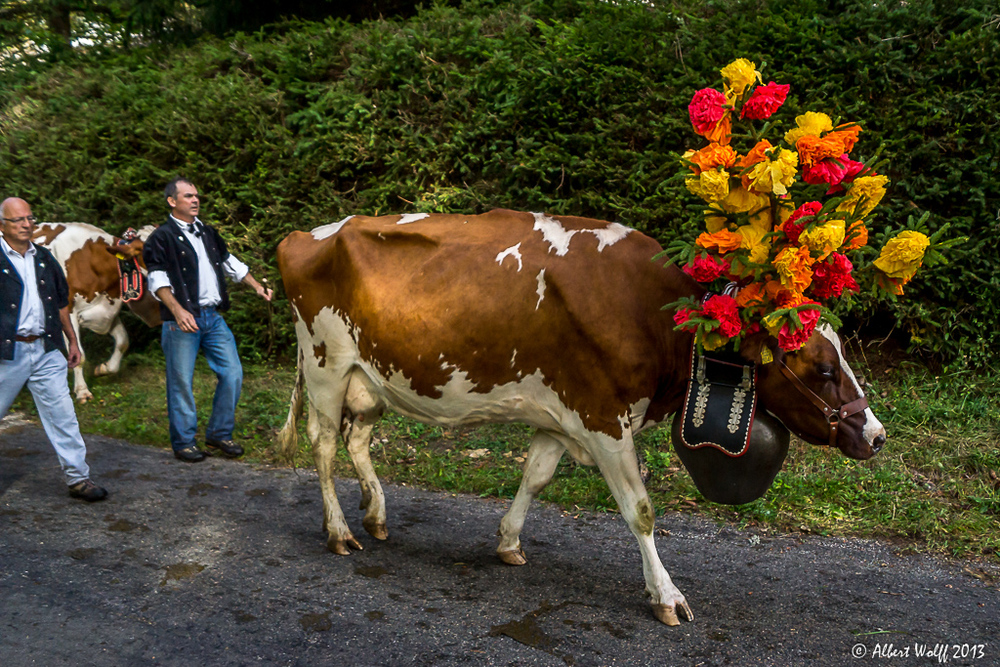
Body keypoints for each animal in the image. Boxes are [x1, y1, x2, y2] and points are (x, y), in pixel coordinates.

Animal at [32, 224, 160, 402]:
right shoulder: (68, 313)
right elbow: (79, 356)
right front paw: (82, 391)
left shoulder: (107, 311)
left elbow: (123, 342)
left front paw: (104, 368)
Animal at [272, 211, 884, 628]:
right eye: (823, 367)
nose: (876, 435)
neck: (650, 313)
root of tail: (308, 232)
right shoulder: (604, 419)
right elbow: (640, 511)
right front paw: (666, 595)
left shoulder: (558, 415)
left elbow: (535, 477)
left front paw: (509, 542)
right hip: (326, 365)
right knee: (325, 447)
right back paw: (339, 531)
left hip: (371, 379)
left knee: (357, 440)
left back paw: (375, 514)